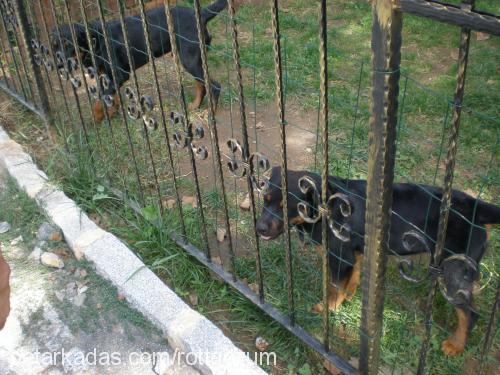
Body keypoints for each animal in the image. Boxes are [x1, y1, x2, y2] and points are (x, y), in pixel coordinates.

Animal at [50, 0, 227, 122]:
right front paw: (112, 113)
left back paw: (210, 113)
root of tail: (202, 13)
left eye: (68, 44)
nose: (58, 65)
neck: (95, 41)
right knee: (201, 84)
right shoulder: (106, 76)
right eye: (53, 45)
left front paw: (97, 119)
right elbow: (110, 97)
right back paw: (195, 105)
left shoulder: (120, 75)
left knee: (214, 86)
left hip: (189, 59)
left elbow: (101, 100)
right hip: (190, 58)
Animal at [258, 167, 500, 356]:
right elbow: (352, 278)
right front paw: (349, 296)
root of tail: (476, 205)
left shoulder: (340, 258)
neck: (325, 207)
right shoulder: (353, 254)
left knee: (470, 314)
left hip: (452, 271)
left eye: (286, 206)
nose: (259, 228)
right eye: (265, 201)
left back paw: (456, 345)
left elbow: (334, 287)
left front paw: (329, 307)